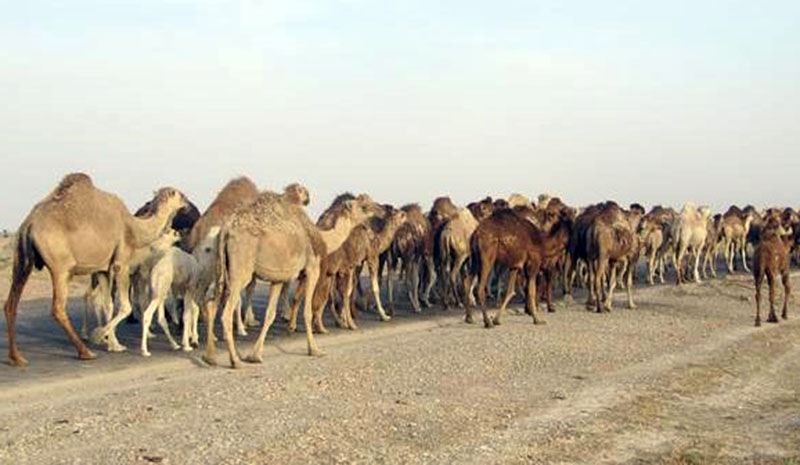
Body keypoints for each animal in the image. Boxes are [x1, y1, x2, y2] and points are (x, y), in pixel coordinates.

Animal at [3, 172, 188, 364]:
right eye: (181, 195)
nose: (188, 204)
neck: (134, 228)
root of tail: (29, 224)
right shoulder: (122, 262)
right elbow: (125, 306)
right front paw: (100, 336)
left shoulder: (102, 269)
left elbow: (108, 304)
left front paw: (114, 344)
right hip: (61, 267)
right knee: (58, 307)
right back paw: (85, 351)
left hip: (22, 258)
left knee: (11, 303)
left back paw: (16, 357)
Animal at [206, 190, 332, 368]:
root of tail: (226, 229)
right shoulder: (312, 268)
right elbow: (306, 312)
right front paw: (314, 350)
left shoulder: (278, 278)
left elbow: (270, 314)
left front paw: (254, 356)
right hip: (241, 270)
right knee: (226, 312)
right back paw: (235, 361)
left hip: (221, 267)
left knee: (212, 303)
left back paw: (210, 357)